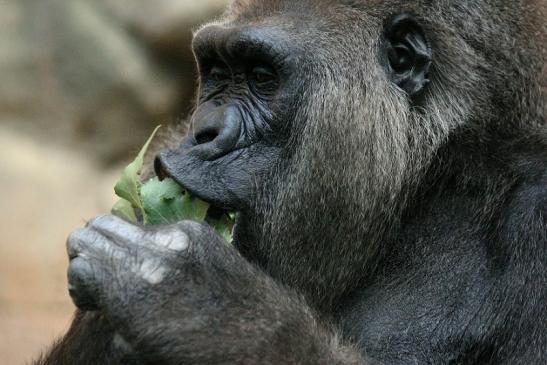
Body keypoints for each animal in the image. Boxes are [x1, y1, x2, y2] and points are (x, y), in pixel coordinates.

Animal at [36, 0, 544, 364]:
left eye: (262, 76)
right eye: (217, 72)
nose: (203, 132)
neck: (430, 181)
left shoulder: (534, 211)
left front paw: (208, 309)